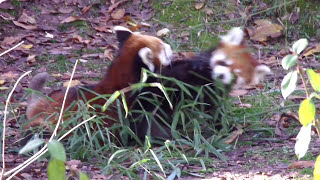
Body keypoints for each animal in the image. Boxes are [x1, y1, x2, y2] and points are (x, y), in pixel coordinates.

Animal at [129, 27, 272, 141]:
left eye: (235, 75)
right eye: (224, 63)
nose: (221, 75)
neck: (209, 78)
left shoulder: (215, 93)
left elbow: (215, 110)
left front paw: (225, 127)